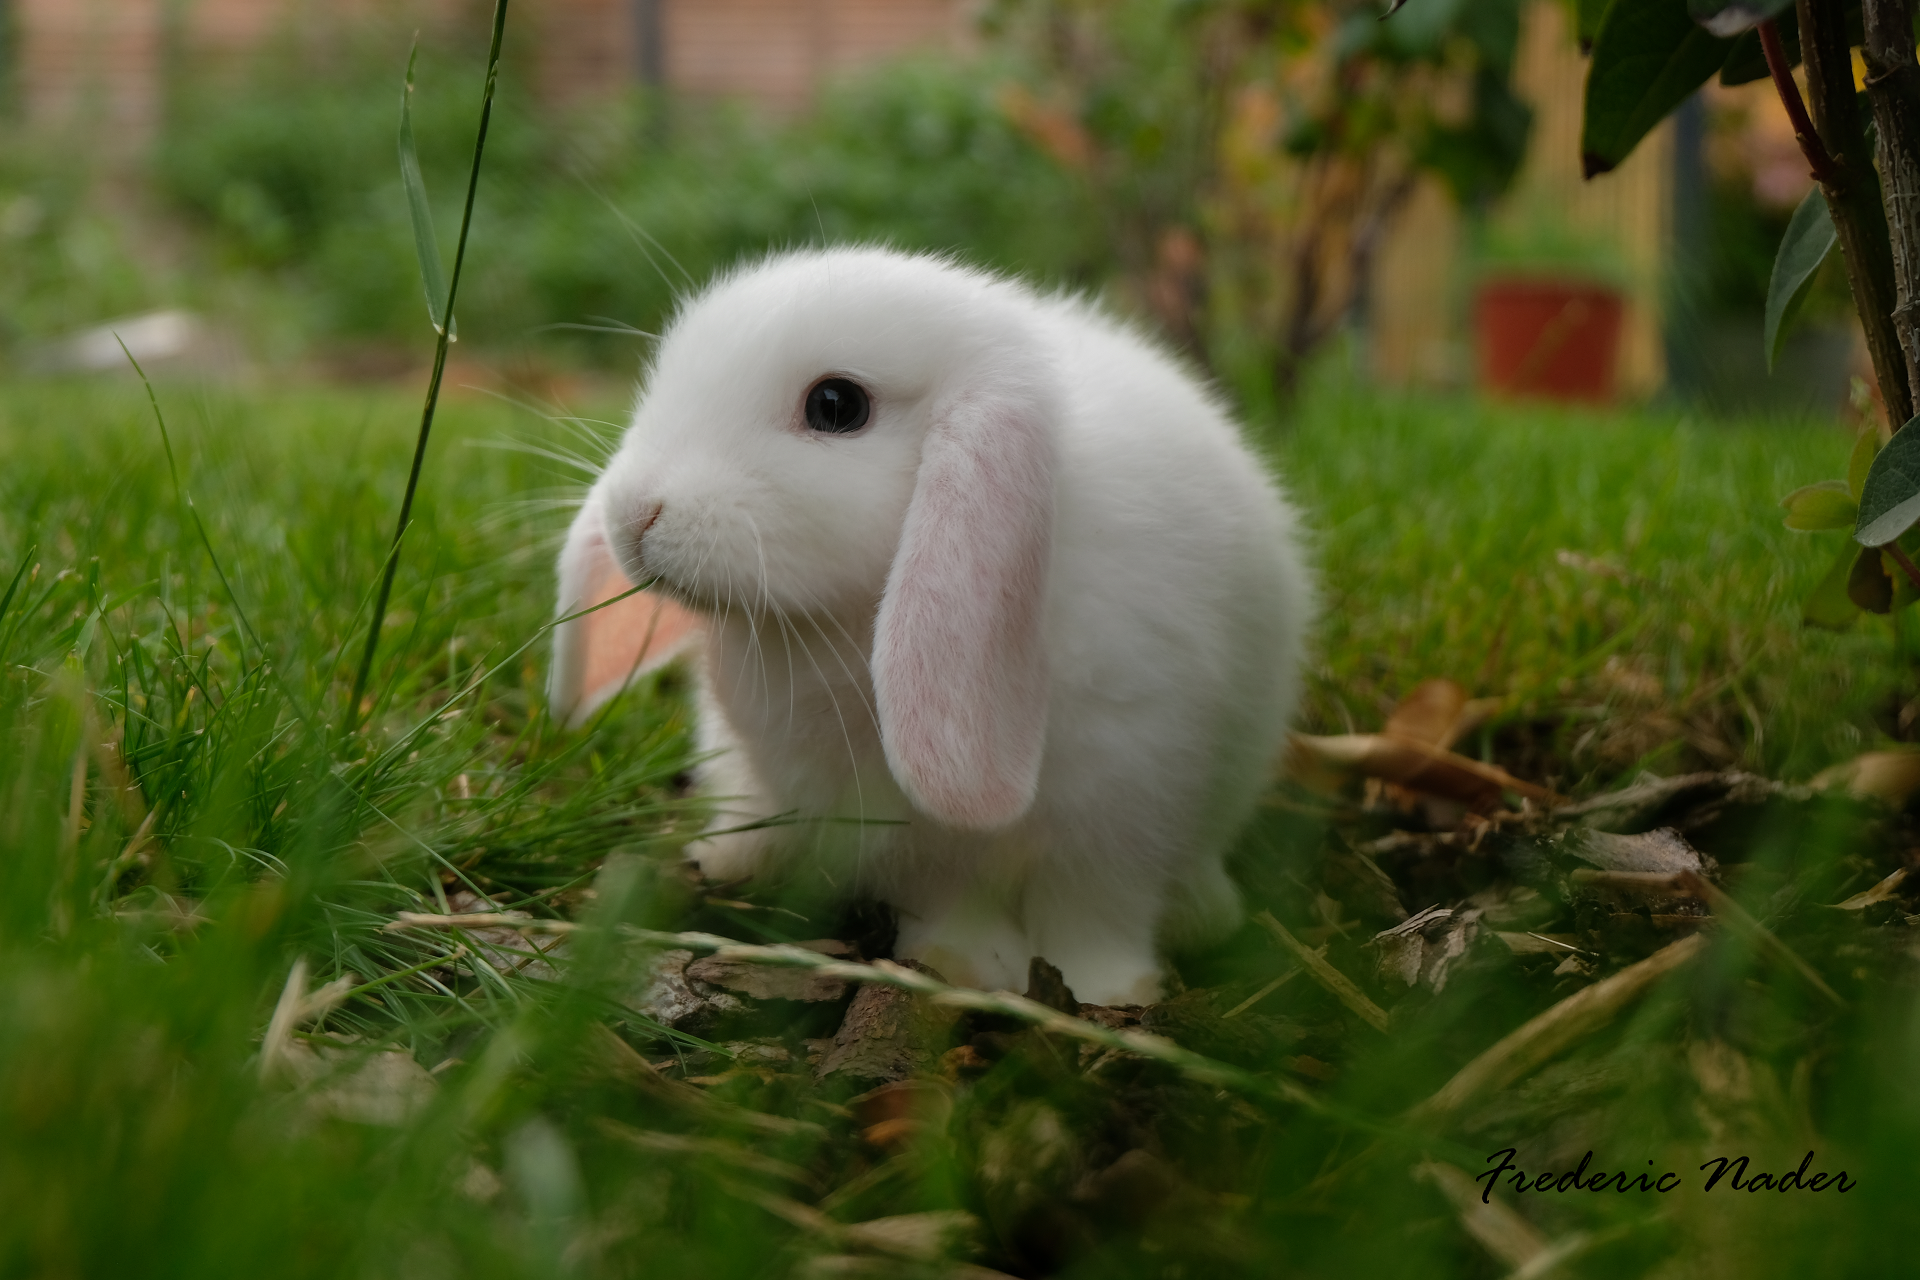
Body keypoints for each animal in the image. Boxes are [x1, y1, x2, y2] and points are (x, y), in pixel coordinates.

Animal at [549, 247, 1313, 1013]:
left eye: (836, 405)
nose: (634, 512)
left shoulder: (1124, 806)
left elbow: (1094, 918)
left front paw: (1110, 992)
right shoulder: (914, 846)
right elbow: (952, 903)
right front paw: (963, 966)